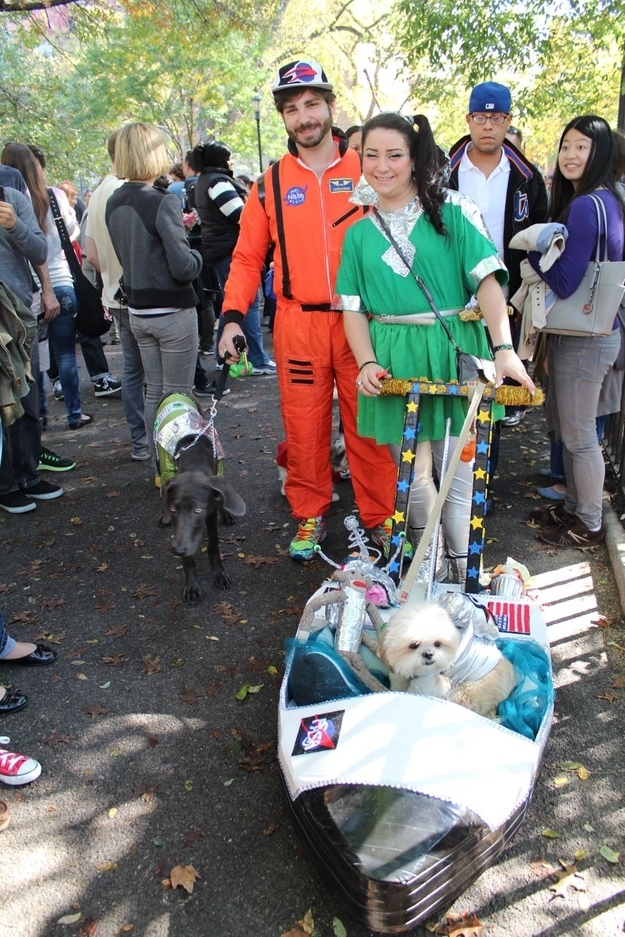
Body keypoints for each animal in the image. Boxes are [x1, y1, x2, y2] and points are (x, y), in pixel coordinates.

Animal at [160, 436, 245, 604]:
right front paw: (192, 586)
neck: (194, 460)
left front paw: (219, 574)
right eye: (173, 510)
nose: (177, 550)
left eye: (198, 510)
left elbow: (213, 543)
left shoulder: (211, 511)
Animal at [380, 600, 516, 716]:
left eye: (437, 644)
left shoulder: (431, 682)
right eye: (414, 645)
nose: (428, 654)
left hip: (467, 692)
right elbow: (398, 678)